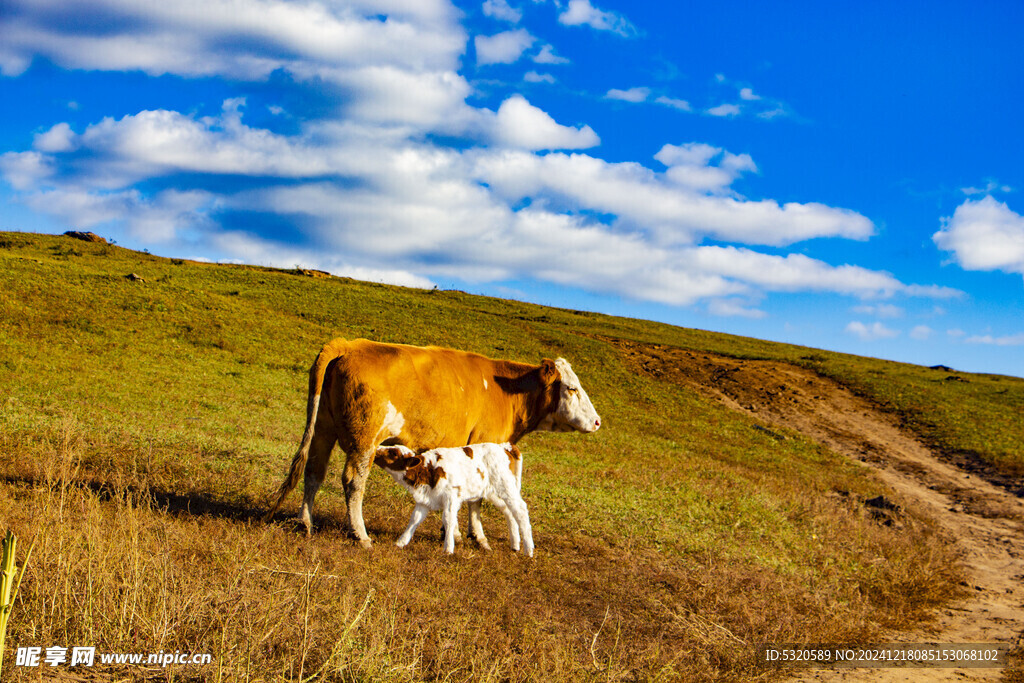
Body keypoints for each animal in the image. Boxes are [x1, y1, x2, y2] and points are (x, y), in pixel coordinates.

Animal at [376, 444, 536, 557]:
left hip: (506, 486)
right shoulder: (424, 500)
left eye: (393, 453)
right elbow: (414, 519)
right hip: (494, 493)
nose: (377, 449)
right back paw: (515, 545)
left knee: (521, 510)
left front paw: (448, 549)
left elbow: (448, 520)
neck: (429, 470)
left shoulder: (451, 496)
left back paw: (528, 551)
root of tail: (505, 447)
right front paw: (400, 542)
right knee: (509, 512)